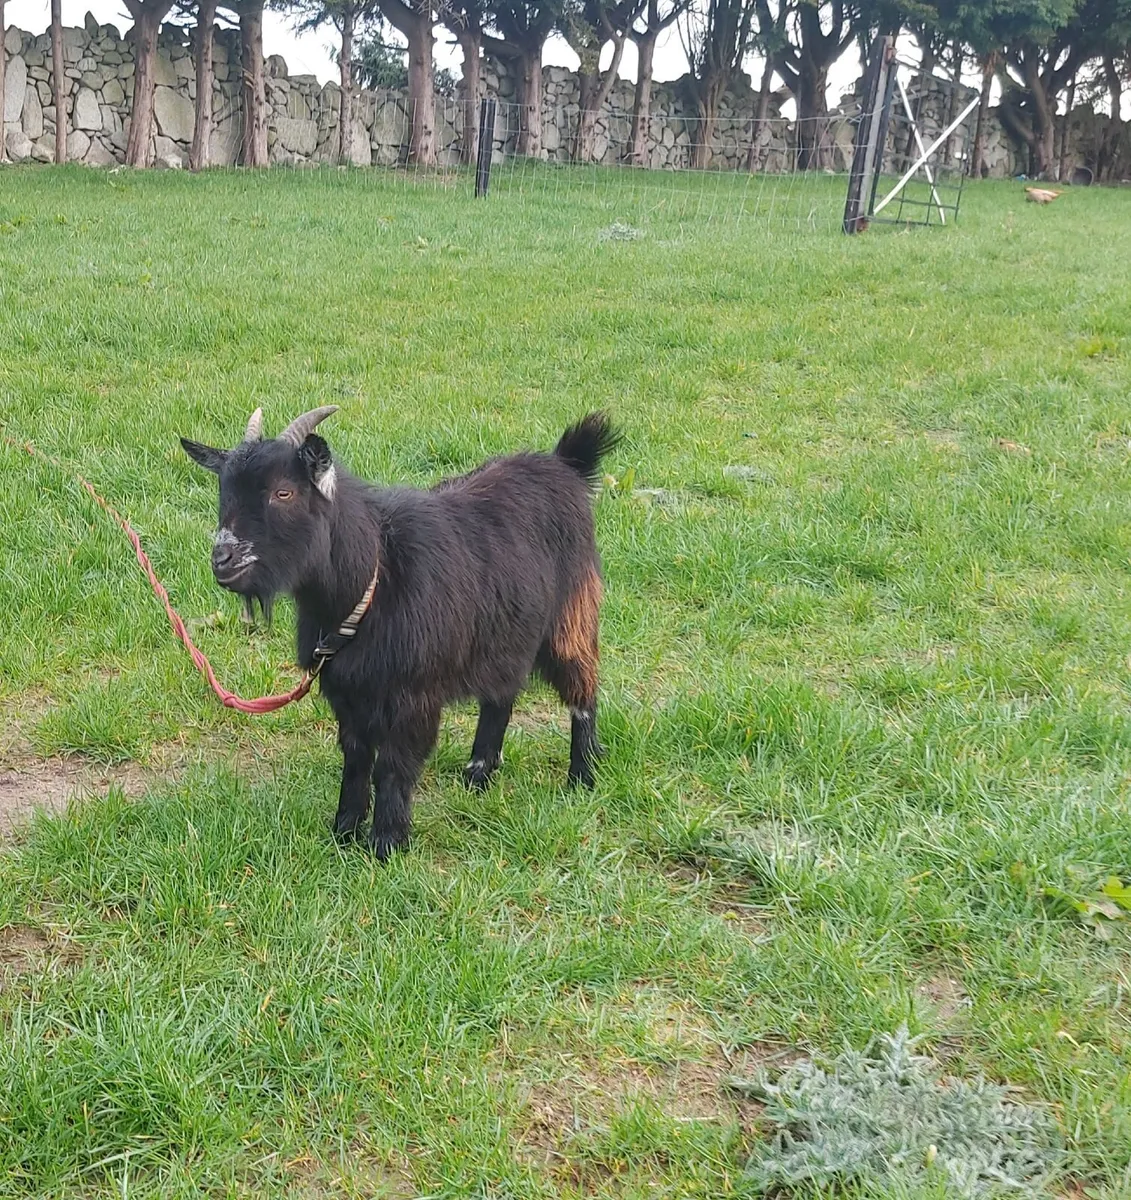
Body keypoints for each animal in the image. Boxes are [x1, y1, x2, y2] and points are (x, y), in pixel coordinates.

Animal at [180, 407, 620, 859]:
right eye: (224, 490)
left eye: (283, 493)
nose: (222, 558)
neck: (373, 576)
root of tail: (565, 464)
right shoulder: (347, 692)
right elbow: (356, 760)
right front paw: (344, 831)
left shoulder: (412, 695)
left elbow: (393, 766)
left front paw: (386, 844)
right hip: (504, 631)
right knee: (501, 695)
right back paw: (478, 776)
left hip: (571, 617)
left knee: (583, 690)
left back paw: (582, 777)